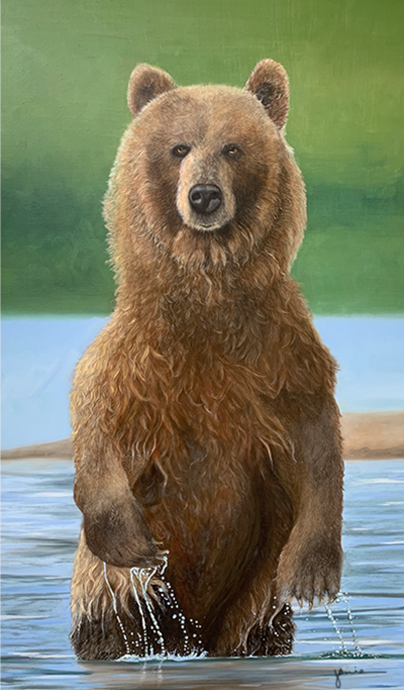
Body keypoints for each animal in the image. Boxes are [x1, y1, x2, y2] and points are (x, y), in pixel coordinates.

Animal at [70, 59, 344, 660]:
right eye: (178, 147)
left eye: (234, 148)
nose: (203, 196)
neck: (208, 296)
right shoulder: (140, 356)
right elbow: (96, 419)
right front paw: (130, 541)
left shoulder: (280, 354)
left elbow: (316, 439)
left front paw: (312, 573)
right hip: (112, 606)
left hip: (254, 603)